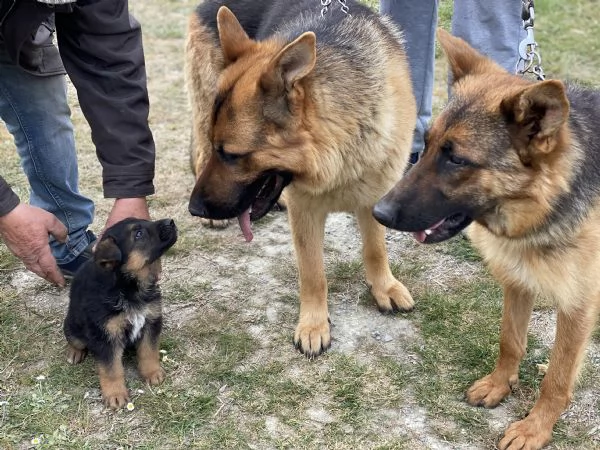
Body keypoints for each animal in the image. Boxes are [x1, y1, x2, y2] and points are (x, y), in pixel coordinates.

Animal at [65, 217, 179, 408]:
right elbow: (111, 369)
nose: (171, 222)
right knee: (74, 340)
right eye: (138, 234)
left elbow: (149, 352)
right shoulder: (105, 336)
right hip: (74, 328)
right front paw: (115, 394)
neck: (128, 288)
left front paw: (152, 373)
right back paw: (74, 352)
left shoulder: (150, 321)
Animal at [376, 28, 600, 450]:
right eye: (426, 145)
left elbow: (557, 378)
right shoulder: (518, 282)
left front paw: (535, 428)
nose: (378, 213)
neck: (546, 200)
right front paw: (500, 385)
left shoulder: (577, 307)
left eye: (457, 159)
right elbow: (510, 340)